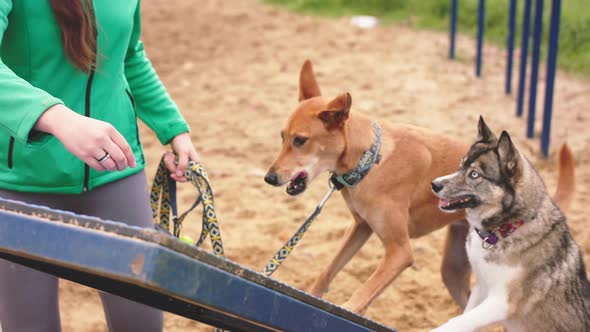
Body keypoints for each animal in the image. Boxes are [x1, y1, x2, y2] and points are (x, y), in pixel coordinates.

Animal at [266, 60, 474, 314]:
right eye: (282, 136)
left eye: (300, 140)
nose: (269, 178)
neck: (370, 160)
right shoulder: (361, 226)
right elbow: (327, 272)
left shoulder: (400, 252)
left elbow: (361, 296)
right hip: (453, 271)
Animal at [430, 116, 590, 330]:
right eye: (461, 165)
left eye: (474, 174)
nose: (434, 184)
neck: (505, 229)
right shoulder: (481, 287)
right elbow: (466, 316)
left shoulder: (502, 302)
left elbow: (456, 322)